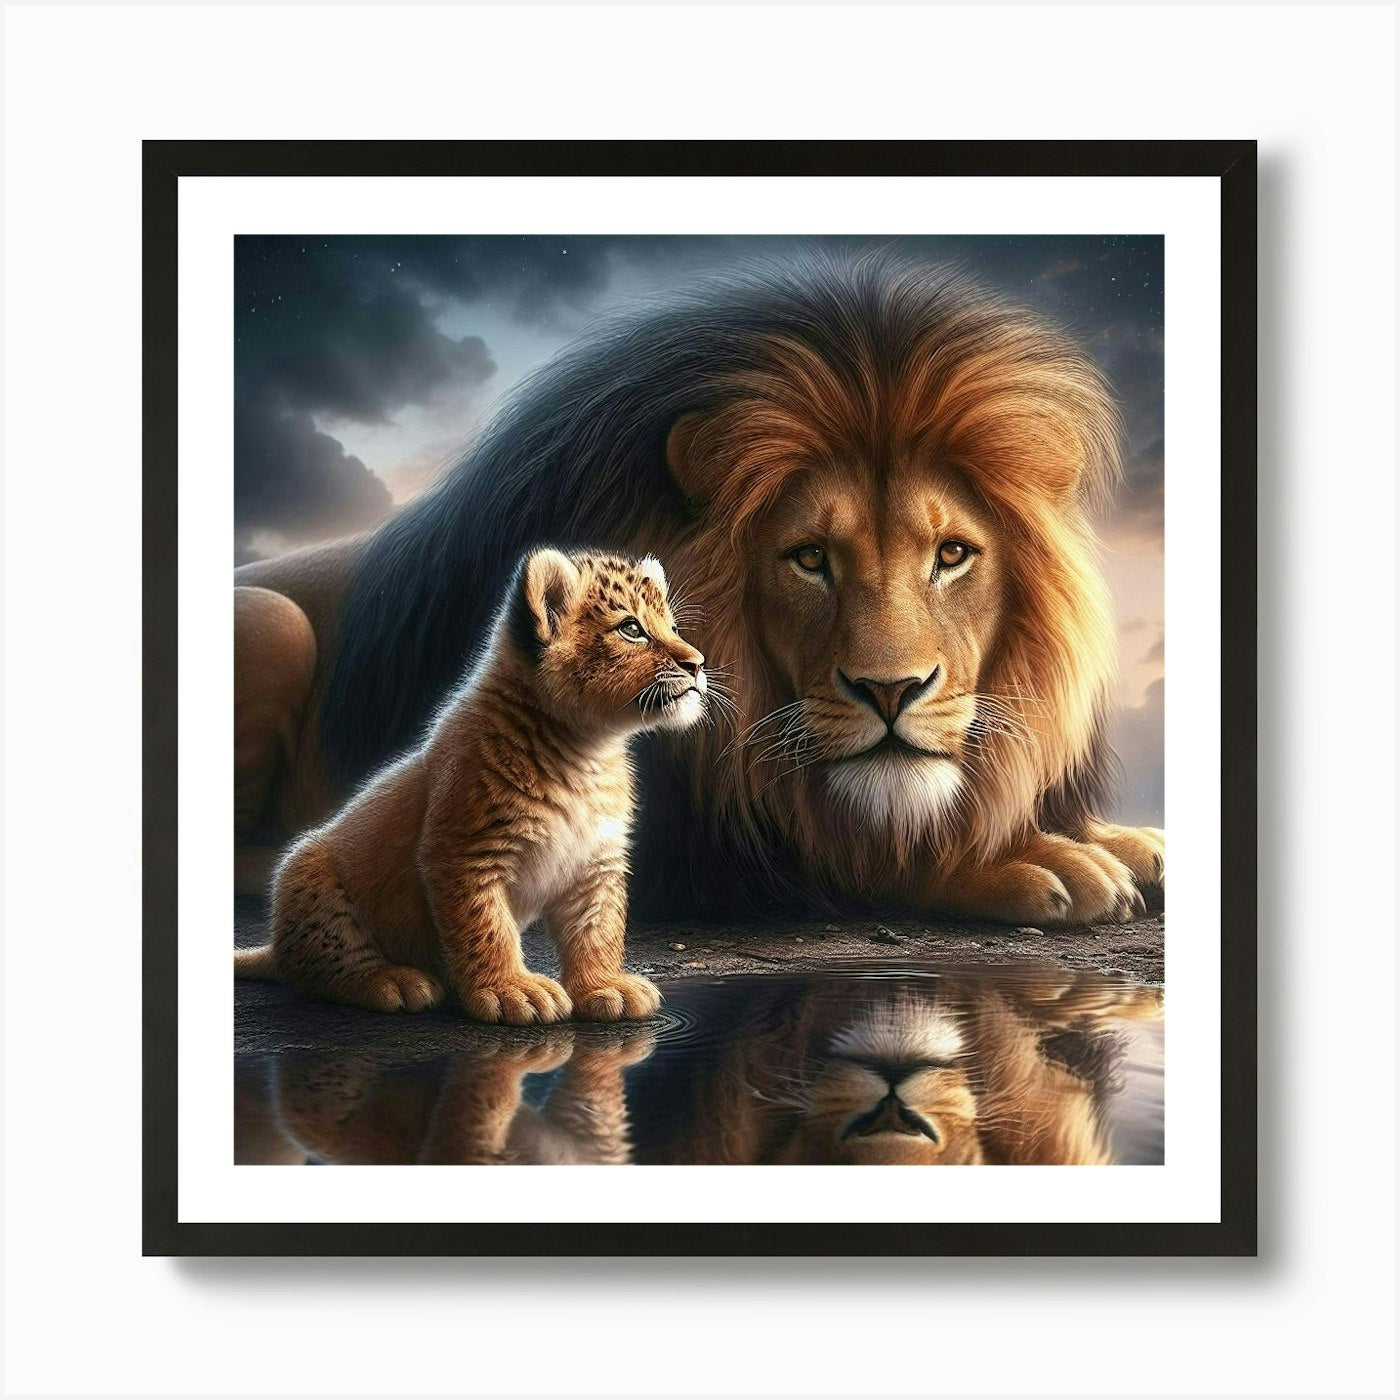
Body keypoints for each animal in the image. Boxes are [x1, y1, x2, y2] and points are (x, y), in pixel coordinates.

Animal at [235, 253, 1163, 924]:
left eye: (954, 554)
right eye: (809, 557)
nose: (890, 690)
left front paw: (1123, 838)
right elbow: (849, 859)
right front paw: (1039, 862)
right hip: (271, 618)